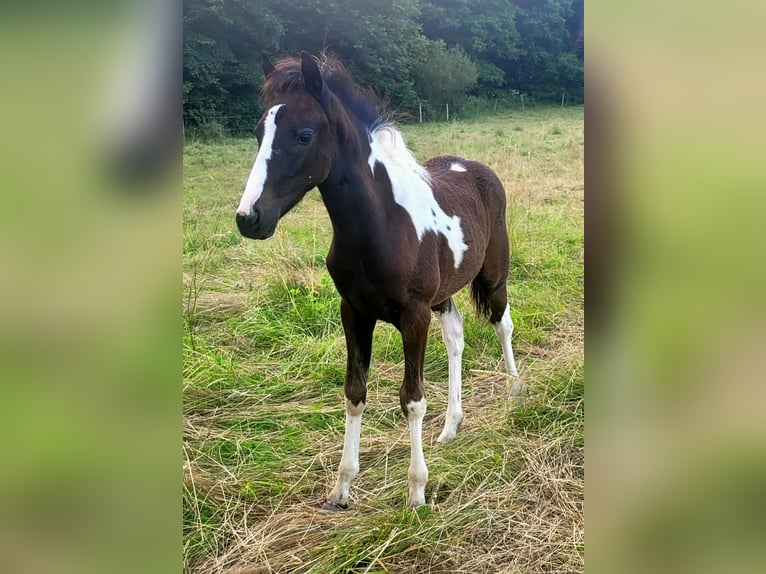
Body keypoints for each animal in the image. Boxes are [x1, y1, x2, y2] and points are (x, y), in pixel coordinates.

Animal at [234, 53, 520, 512]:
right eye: (259, 133)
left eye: (304, 134)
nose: (249, 218)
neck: (380, 225)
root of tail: (475, 166)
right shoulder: (353, 312)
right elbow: (355, 392)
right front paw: (341, 487)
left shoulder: (414, 315)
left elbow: (412, 398)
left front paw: (417, 491)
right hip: (443, 296)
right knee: (456, 337)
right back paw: (451, 427)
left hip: (493, 277)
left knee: (502, 324)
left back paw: (515, 393)